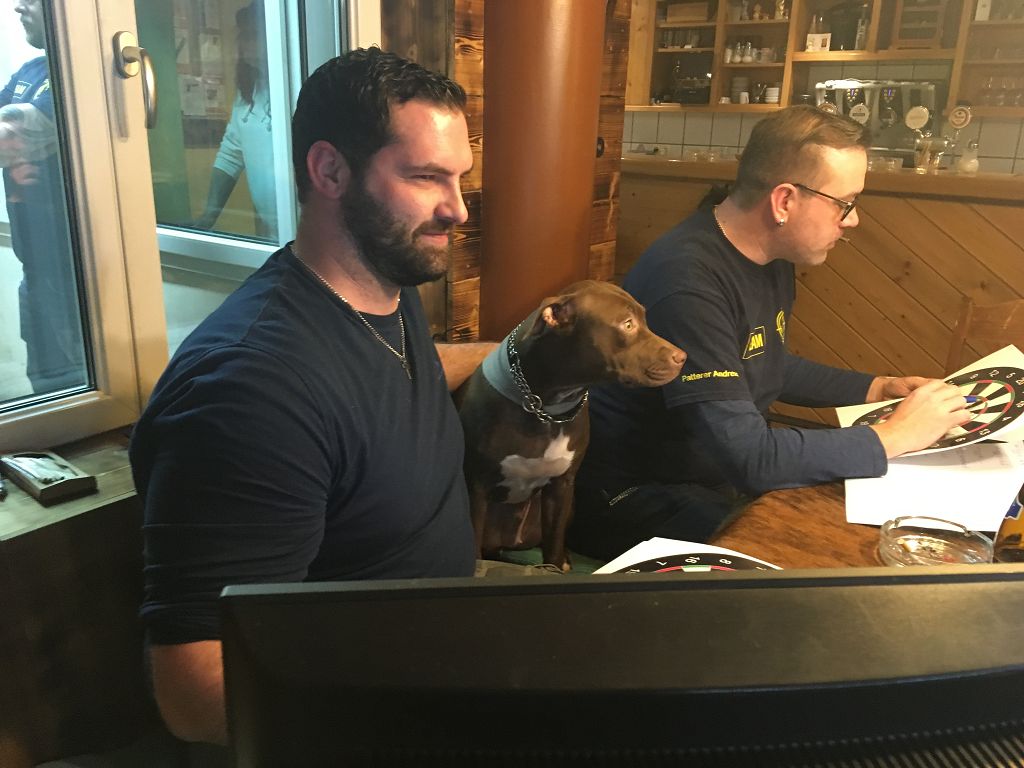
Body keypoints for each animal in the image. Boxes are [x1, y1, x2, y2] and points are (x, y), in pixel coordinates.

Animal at [457, 280, 685, 571]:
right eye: (628, 324)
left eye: (643, 319)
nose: (682, 357)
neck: (543, 408)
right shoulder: (477, 487)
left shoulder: (561, 487)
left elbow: (554, 542)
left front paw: (556, 565)